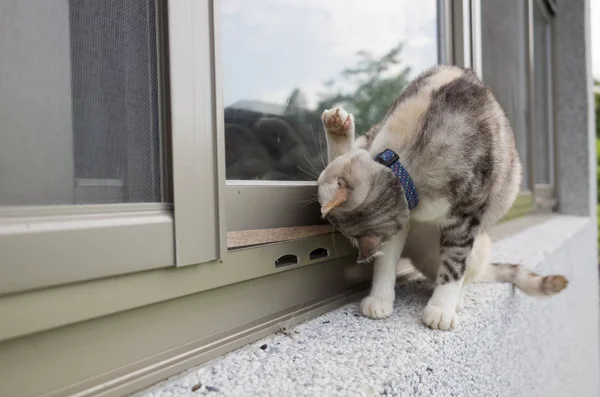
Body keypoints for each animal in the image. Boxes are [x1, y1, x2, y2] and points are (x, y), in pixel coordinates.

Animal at [318, 65, 568, 332]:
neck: (407, 167)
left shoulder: (465, 218)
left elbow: (454, 266)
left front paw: (441, 308)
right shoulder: (400, 217)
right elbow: (386, 262)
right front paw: (380, 298)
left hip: (475, 246)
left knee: (467, 275)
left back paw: (456, 300)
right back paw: (338, 130)